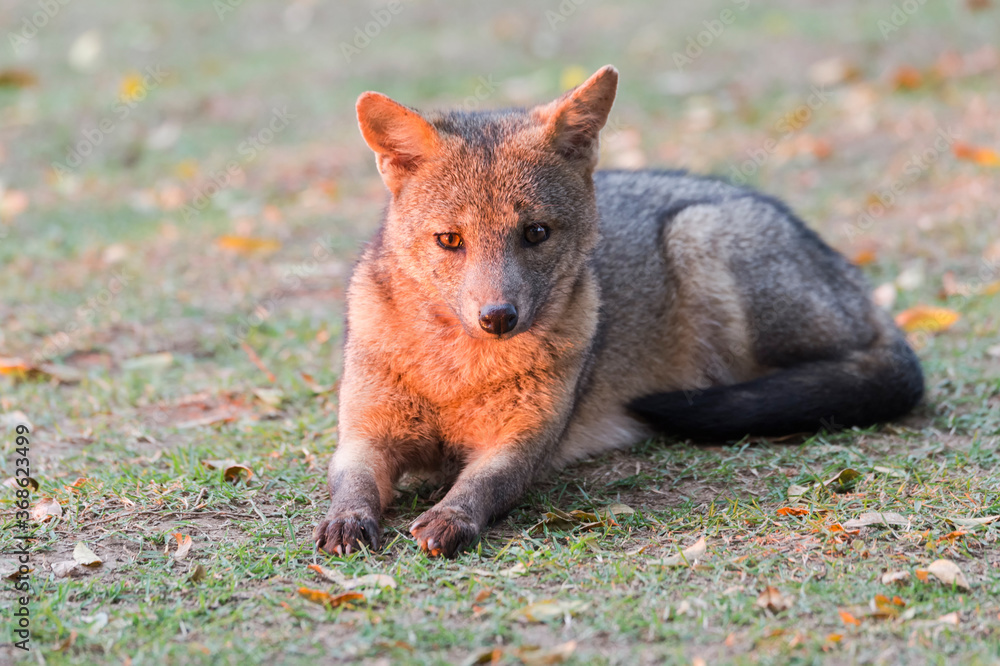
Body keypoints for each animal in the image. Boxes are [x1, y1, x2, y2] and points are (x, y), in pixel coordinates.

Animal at [314, 65, 924, 558]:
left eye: (536, 233)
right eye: (449, 240)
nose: (498, 318)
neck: (455, 374)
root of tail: (842, 265)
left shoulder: (521, 445)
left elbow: (480, 488)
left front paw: (450, 517)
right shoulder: (364, 435)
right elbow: (351, 483)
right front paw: (346, 522)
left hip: (698, 239)